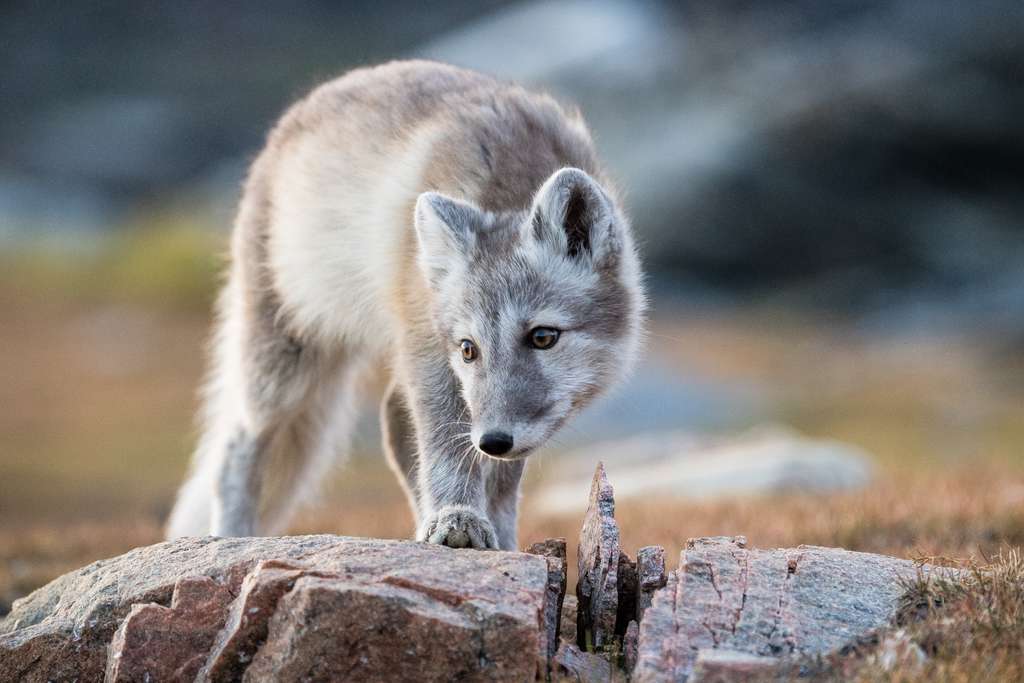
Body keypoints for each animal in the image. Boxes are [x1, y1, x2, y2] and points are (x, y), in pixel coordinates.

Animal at [169, 58, 647, 548]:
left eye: (543, 337)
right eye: (468, 349)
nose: (493, 441)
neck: (510, 187)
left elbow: (500, 481)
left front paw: (500, 539)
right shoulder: (429, 350)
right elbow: (444, 447)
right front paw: (456, 518)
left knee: (395, 426)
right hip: (286, 368)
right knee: (236, 448)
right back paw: (232, 537)